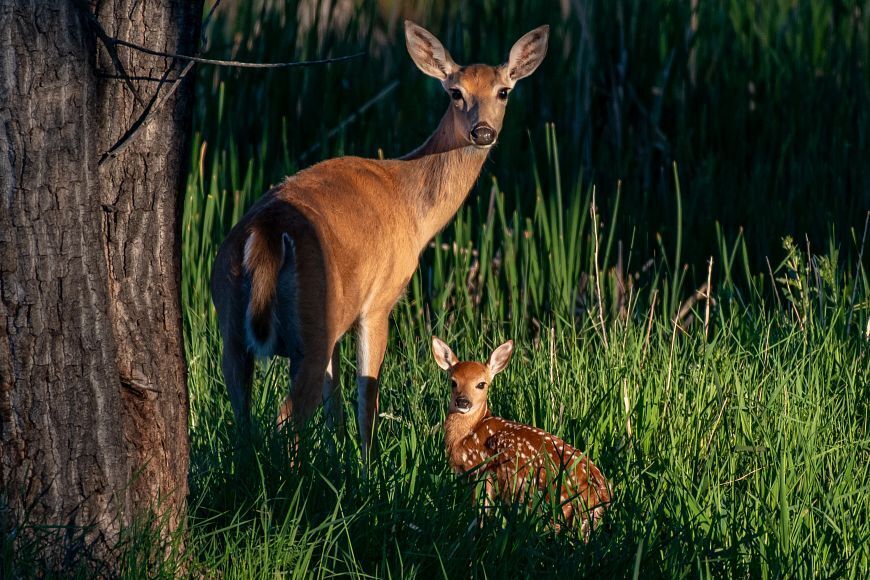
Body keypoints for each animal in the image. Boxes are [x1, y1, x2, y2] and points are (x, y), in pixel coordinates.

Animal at [210, 21, 550, 457]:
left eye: (503, 91)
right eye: (455, 92)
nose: (483, 131)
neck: (413, 208)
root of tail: (265, 229)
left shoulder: (341, 319)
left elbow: (335, 402)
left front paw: (337, 455)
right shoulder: (378, 302)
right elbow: (365, 398)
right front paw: (366, 465)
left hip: (230, 319)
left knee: (244, 416)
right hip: (312, 322)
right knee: (286, 418)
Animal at [431, 337, 612, 539]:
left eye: (481, 384)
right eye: (453, 382)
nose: (463, 402)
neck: (466, 436)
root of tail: (604, 494)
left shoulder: (480, 469)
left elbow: (481, 511)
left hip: (557, 502)